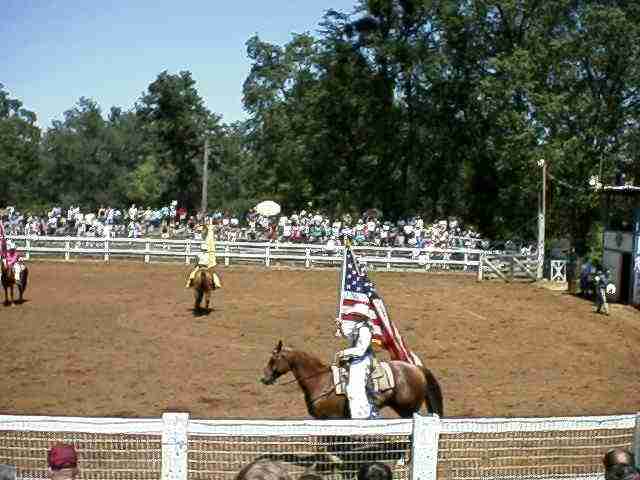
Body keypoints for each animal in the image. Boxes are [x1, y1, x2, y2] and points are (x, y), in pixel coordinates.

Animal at [258, 340, 442, 418]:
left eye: (273, 358)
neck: (320, 381)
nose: (264, 378)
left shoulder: (332, 418)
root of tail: (416, 368)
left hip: (408, 409)